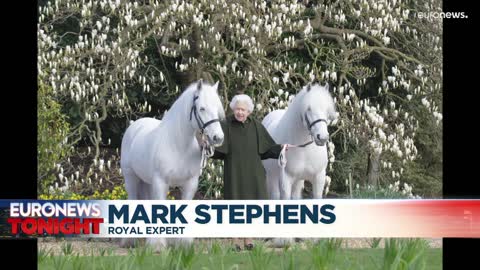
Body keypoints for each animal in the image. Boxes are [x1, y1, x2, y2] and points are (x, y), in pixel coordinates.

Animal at [120, 80, 225, 251]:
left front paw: (183, 243)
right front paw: (157, 245)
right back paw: (129, 241)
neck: (178, 145)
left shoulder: (190, 183)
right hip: (131, 178)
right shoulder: (160, 182)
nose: (218, 138)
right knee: (132, 198)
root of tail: (135, 126)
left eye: (217, 109)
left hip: (147, 181)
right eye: (202, 108)